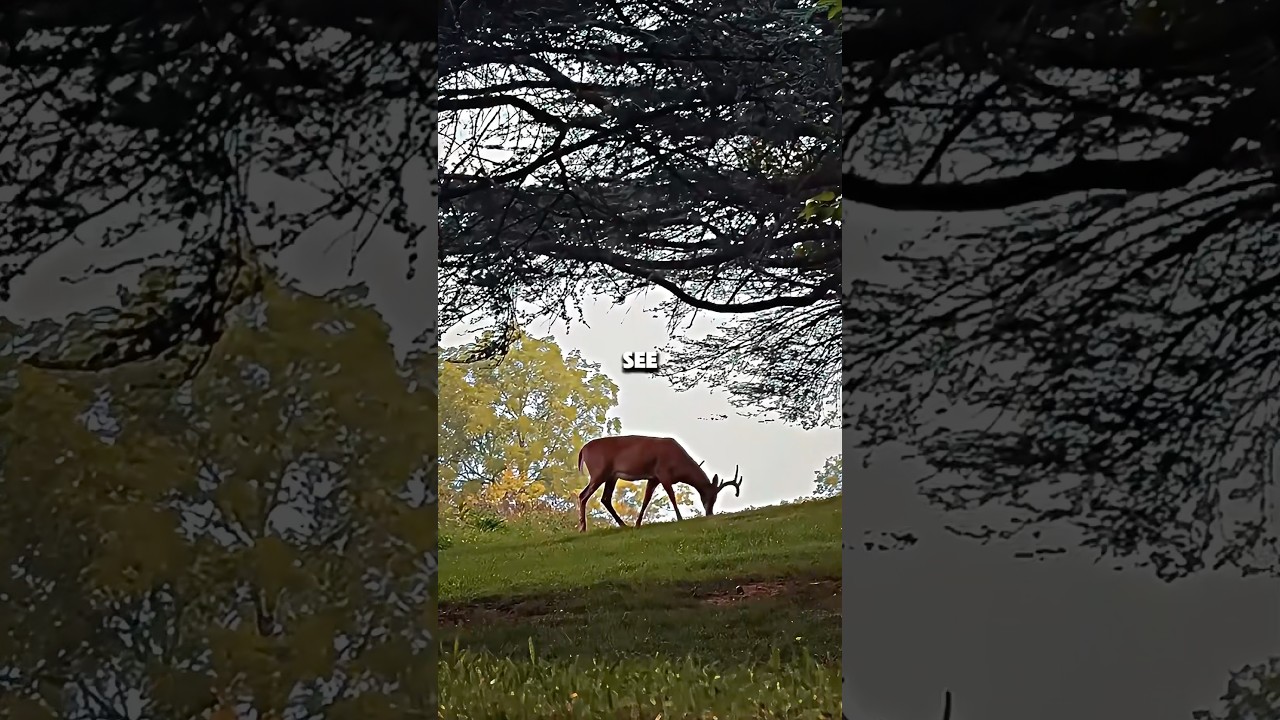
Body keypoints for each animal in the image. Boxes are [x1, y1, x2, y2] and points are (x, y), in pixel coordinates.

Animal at [575, 435, 743, 533]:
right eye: (710, 496)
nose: (709, 513)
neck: (679, 465)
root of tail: (583, 450)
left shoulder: (653, 478)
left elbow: (646, 499)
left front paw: (637, 524)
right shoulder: (663, 473)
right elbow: (672, 495)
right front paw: (680, 518)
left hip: (611, 476)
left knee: (605, 498)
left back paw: (624, 525)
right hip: (599, 472)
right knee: (583, 495)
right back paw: (583, 529)